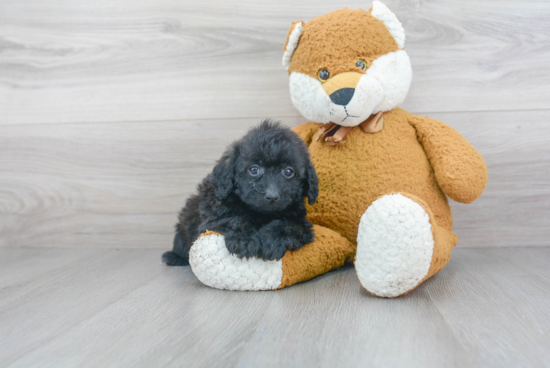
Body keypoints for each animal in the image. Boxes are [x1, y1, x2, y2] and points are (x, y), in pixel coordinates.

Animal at [162, 119, 320, 266]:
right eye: (254, 169)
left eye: (288, 172)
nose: (272, 196)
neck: (262, 213)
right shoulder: (213, 212)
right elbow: (235, 218)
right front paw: (244, 240)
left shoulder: (302, 224)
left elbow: (289, 225)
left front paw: (272, 241)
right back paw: (174, 257)